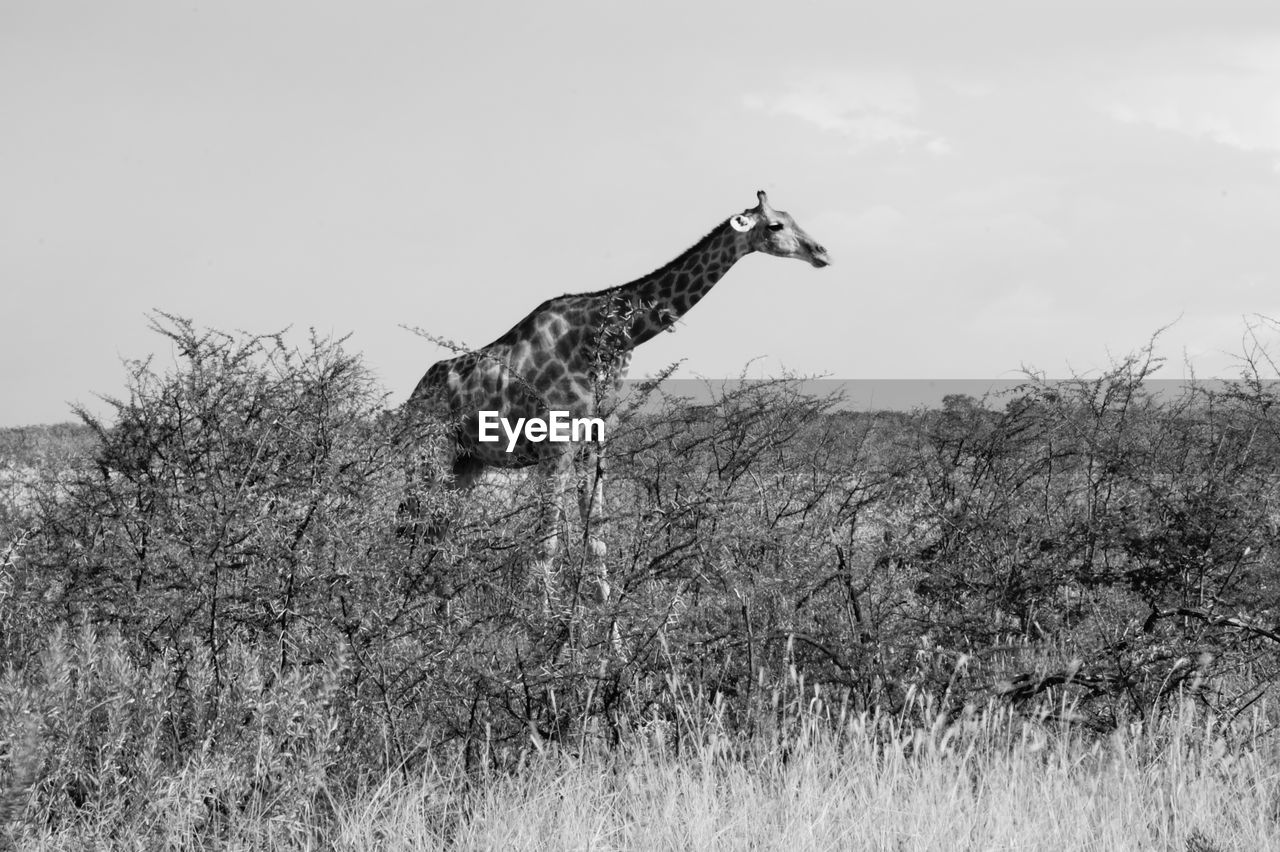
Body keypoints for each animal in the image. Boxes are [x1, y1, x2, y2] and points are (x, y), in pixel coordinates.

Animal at [407, 191, 829, 603]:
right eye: (775, 225)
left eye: (792, 217)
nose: (822, 252)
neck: (608, 339)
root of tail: (415, 396)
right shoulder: (556, 446)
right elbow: (546, 546)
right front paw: (540, 623)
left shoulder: (593, 445)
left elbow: (597, 541)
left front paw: (605, 625)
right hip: (433, 455)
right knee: (416, 526)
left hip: (468, 463)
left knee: (437, 532)